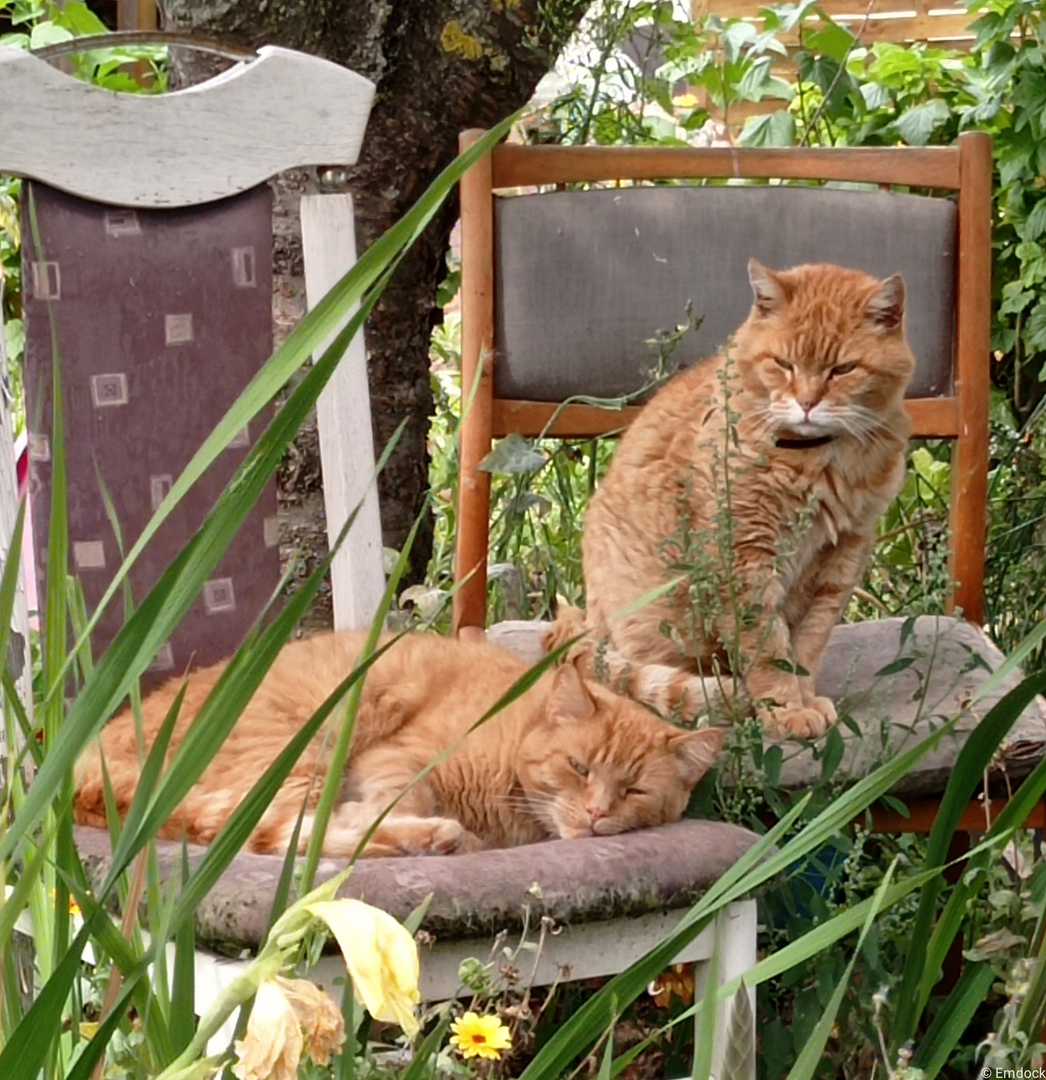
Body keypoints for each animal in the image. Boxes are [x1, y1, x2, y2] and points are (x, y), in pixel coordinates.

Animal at [75, 630, 725, 855]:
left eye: (633, 791)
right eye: (579, 767)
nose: (594, 815)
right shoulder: (393, 758)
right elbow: (402, 795)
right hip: (294, 753)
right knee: (296, 832)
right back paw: (434, 838)